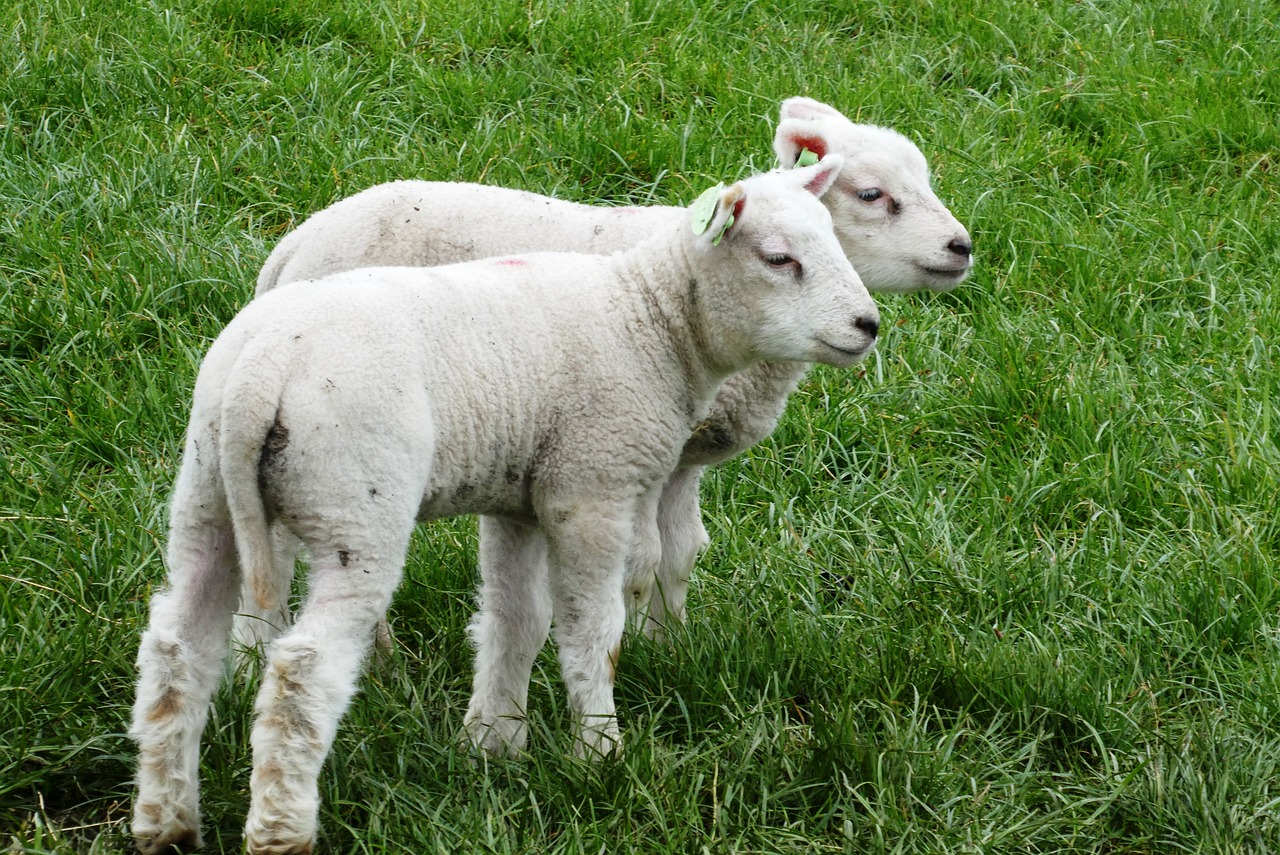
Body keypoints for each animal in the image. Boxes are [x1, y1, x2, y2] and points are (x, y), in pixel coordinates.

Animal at [129, 156, 885, 849]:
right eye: (778, 258)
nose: (867, 324)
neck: (651, 320)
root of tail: (261, 374)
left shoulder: (517, 500)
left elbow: (514, 623)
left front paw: (492, 746)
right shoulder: (591, 487)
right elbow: (592, 631)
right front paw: (599, 755)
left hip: (205, 494)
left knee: (175, 647)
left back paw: (168, 821)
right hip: (354, 503)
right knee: (302, 669)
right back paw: (282, 829)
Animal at [235, 95, 962, 655]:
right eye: (872, 195)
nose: (963, 246)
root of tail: (289, 250)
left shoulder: (682, 454)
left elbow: (682, 552)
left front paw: (673, 647)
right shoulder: (624, 447)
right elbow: (639, 560)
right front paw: (635, 653)